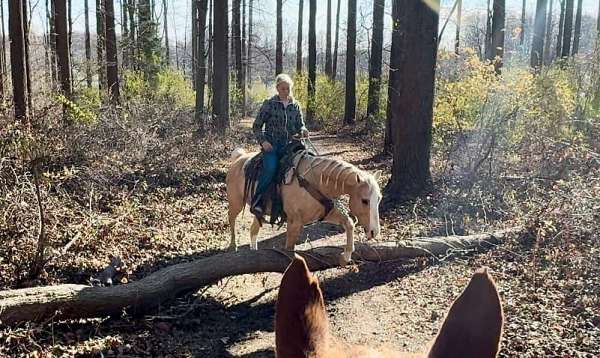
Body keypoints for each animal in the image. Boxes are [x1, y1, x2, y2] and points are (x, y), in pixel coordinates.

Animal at [225, 147, 380, 262]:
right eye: (364, 200)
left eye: (378, 199)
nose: (374, 232)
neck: (315, 181)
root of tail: (239, 158)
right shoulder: (294, 222)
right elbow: (289, 249)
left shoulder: (325, 214)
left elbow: (349, 223)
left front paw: (346, 255)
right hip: (235, 203)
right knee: (231, 219)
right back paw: (233, 246)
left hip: (259, 211)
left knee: (253, 228)